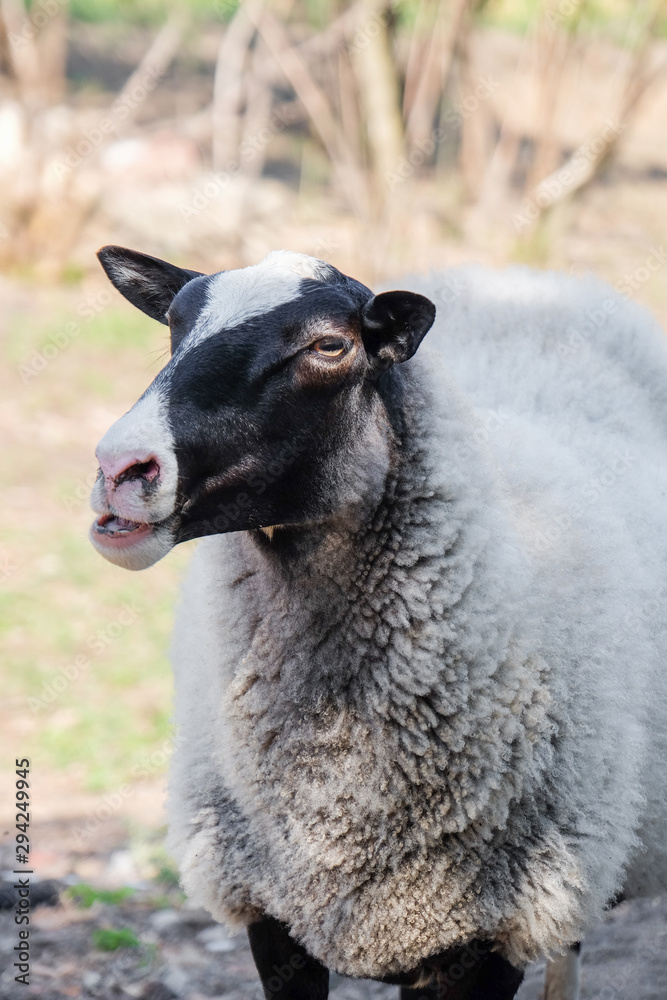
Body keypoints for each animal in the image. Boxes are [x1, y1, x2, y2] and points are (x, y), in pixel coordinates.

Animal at [90, 248, 667, 1000]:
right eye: (174, 326)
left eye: (331, 346)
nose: (118, 469)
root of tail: (529, 279)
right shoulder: (270, 912)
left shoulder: (491, 931)